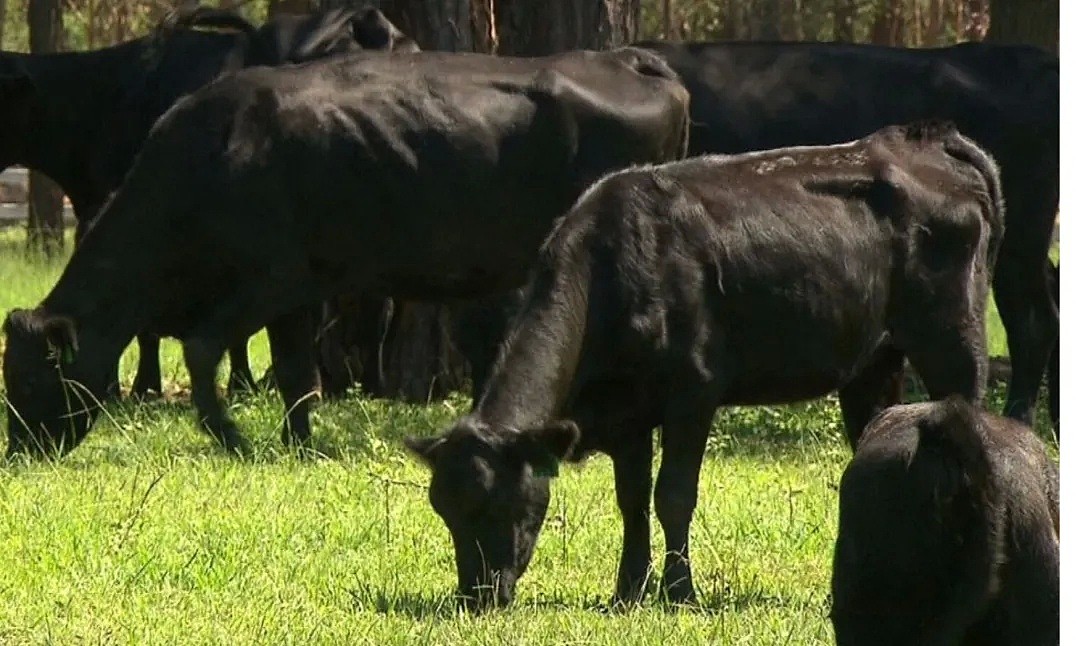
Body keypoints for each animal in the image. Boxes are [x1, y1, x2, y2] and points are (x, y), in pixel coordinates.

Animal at [0, 46, 686, 460]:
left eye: (31, 377)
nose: (19, 449)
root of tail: (627, 59)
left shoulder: (271, 278)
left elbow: (202, 348)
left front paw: (233, 438)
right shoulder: (297, 294)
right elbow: (295, 373)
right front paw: (298, 444)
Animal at [406, 122, 1002, 613]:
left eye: (494, 504)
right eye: (444, 510)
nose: (475, 597)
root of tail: (921, 138)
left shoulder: (693, 391)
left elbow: (672, 495)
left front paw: (679, 593)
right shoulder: (626, 410)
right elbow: (631, 500)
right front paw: (627, 592)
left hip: (954, 339)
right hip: (874, 362)